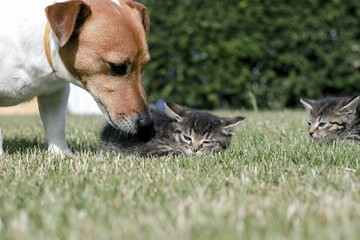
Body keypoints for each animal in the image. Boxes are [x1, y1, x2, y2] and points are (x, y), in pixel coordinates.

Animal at [0, 0, 153, 156]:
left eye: (143, 66)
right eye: (117, 67)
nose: (147, 124)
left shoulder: (55, 91)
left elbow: (56, 124)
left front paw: (61, 154)